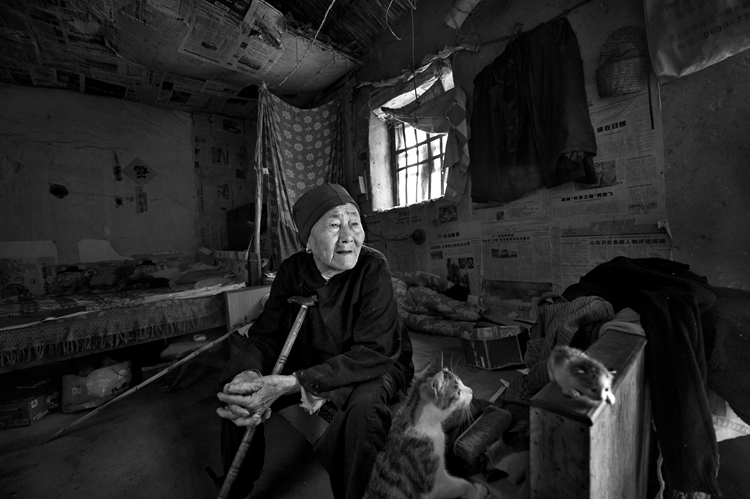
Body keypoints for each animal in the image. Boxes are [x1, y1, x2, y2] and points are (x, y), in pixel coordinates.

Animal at [363, 361, 489, 499]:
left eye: (461, 381)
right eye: (458, 392)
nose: (471, 391)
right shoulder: (435, 481)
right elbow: (461, 485)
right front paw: (477, 491)